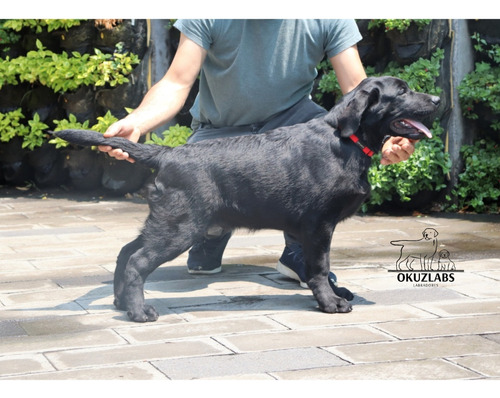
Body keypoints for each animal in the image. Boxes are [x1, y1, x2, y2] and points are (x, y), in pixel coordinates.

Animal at [52, 76, 440, 322]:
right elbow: (319, 267)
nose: (437, 100)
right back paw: (139, 312)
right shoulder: (318, 225)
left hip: (166, 220)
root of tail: (167, 154)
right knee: (137, 261)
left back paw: (120, 302)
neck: (346, 141)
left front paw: (336, 295)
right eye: (402, 91)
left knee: (125, 252)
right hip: (182, 225)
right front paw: (330, 303)